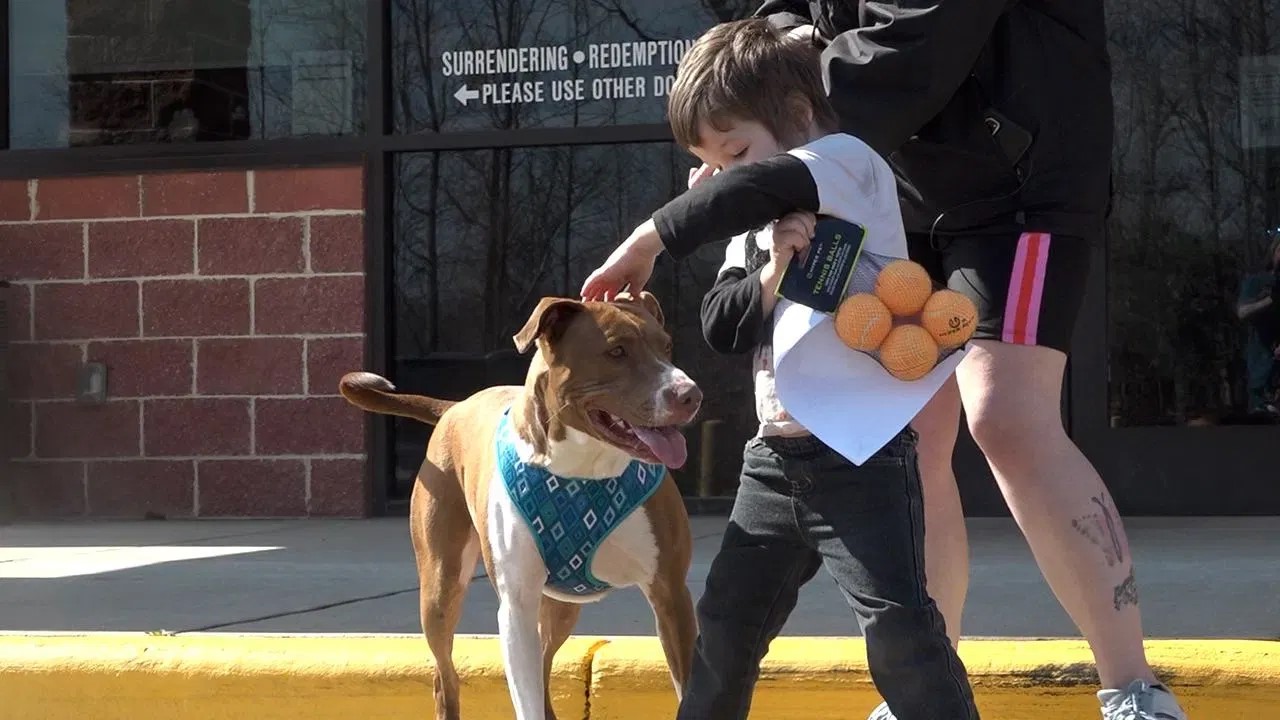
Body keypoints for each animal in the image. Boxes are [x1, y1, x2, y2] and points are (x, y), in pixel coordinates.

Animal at [340, 292, 701, 717]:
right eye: (616, 351)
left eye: (667, 347)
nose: (690, 394)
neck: (586, 468)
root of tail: (455, 406)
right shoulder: (516, 607)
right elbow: (523, 694)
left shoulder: (670, 593)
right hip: (441, 587)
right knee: (446, 677)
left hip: (560, 605)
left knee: (544, 664)